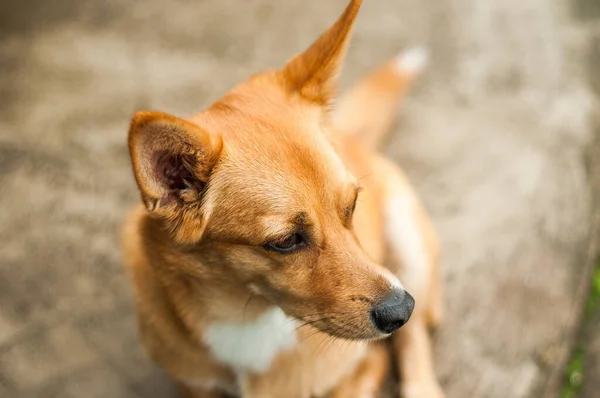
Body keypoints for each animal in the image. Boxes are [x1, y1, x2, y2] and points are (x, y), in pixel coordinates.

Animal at [122, 1, 442, 396]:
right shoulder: (194, 385)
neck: (248, 319)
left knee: (416, 343)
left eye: (351, 206)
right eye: (286, 241)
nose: (401, 310)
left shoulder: (362, 368)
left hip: (408, 244)